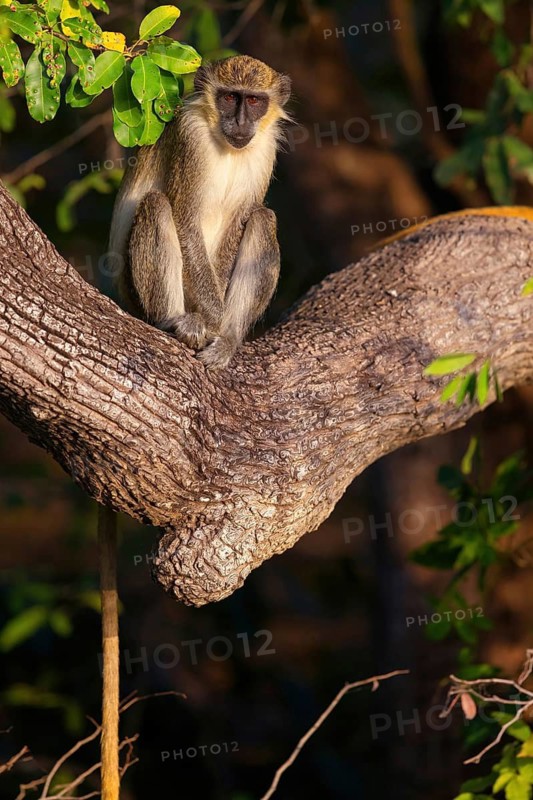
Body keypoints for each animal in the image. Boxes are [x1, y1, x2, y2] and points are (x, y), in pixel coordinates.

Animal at [108, 55, 291, 370]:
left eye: (254, 100)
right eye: (229, 97)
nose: (241, 122)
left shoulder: (266, 150)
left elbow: (239, 223)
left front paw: (220, 329)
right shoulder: (189, 135)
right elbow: (184, 220)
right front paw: (212, 320)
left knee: (263, 219)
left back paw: (228, 338)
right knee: (156, 204)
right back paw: (174, 322)